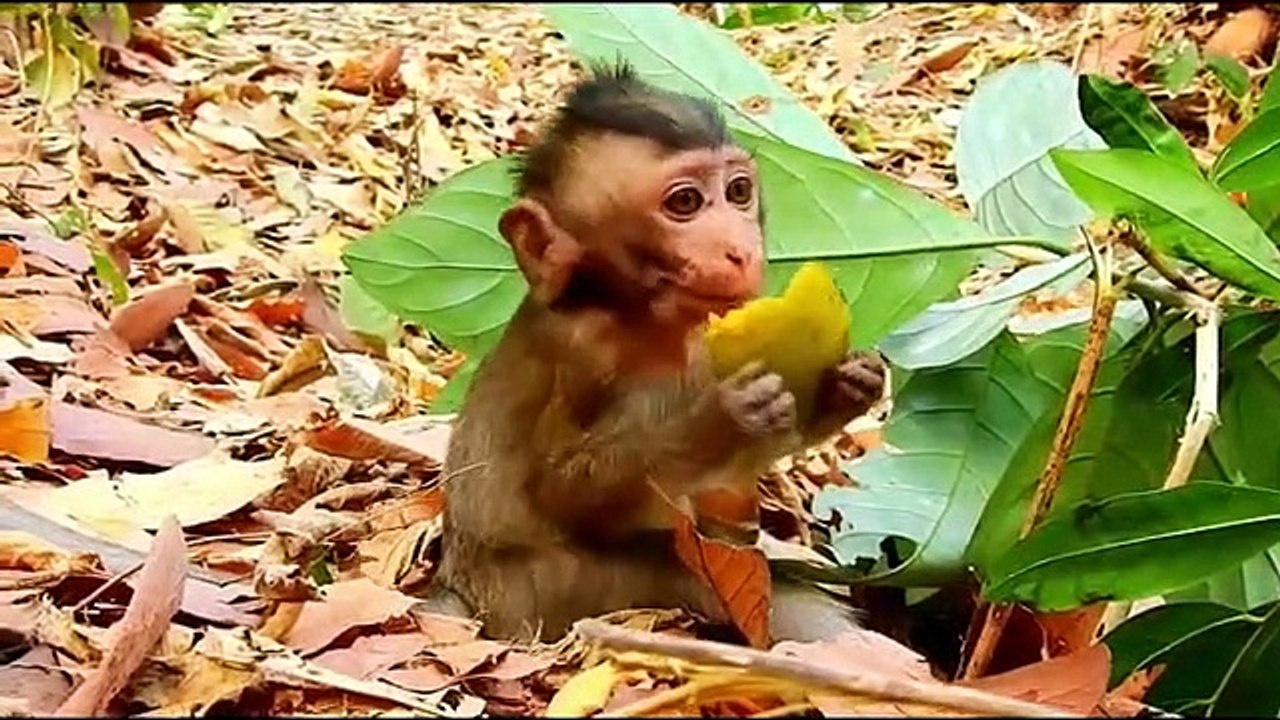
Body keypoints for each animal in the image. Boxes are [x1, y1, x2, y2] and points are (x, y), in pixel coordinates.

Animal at [426, 63, 887, 645]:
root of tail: (464, 592)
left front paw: (847, 386)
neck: (642, 315)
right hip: (549, 595)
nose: (741, 250)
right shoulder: (582, 352)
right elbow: (560, 492)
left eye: (738, 191)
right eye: (685, 204)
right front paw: (725, 420)